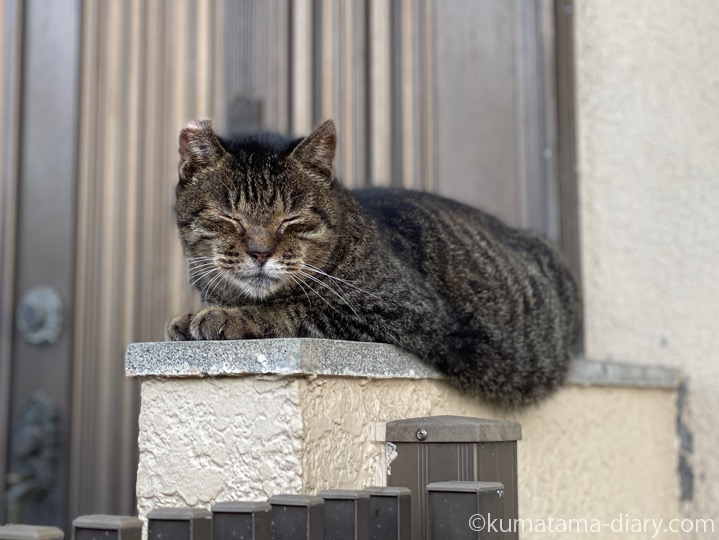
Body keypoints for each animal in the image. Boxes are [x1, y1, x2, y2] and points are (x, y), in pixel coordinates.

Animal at [167, 118, 580, 404]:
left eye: (292, 219)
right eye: (229, 217)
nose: (260, 252)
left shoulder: (403, 312)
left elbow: (293, 309)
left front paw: (222, 318)